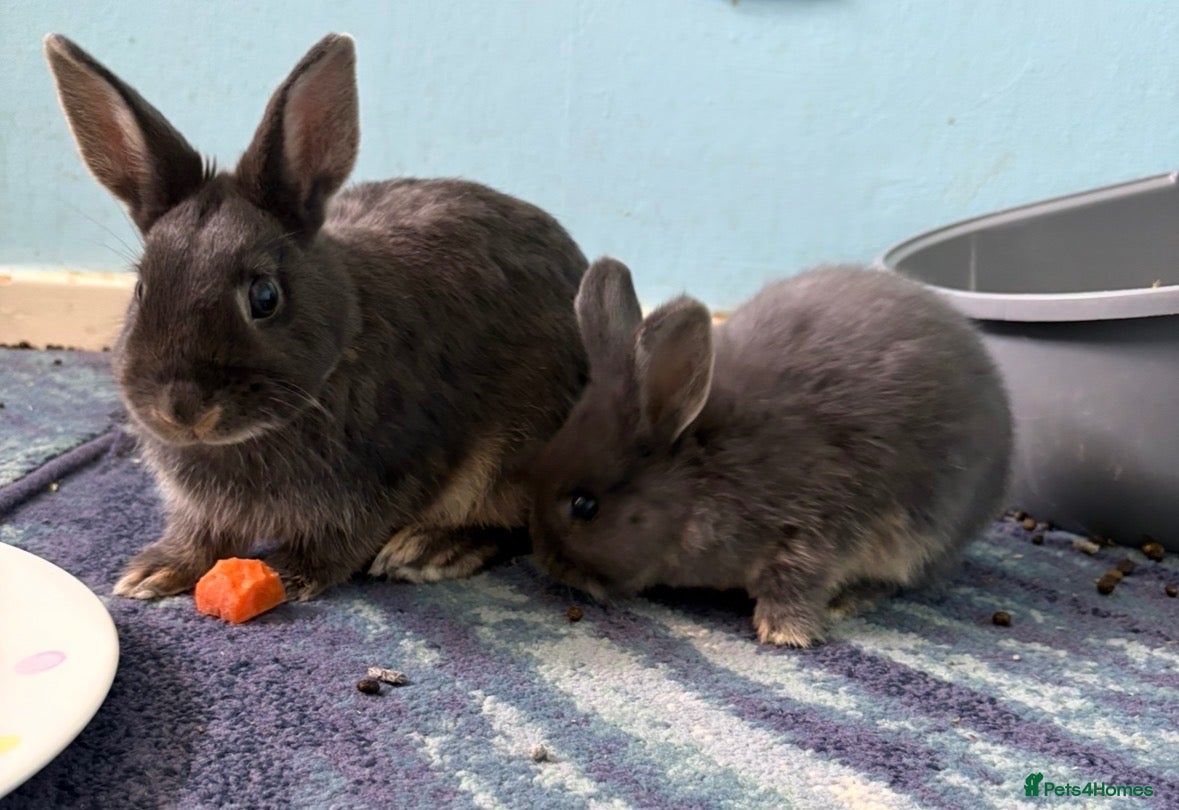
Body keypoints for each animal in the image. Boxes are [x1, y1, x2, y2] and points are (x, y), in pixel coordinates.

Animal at [44, 32, 589, 601]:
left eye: (265, 296)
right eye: (141, 287)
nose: (183, 409)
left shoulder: (389, 477)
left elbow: (339, 541)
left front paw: (285, 573)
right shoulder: (203, 509)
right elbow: (202, 535)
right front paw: (155, 571)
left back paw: (430, 548)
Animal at [527, 258, 1013, 646]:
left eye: (584, 506)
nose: (549, 564)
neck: (704, 469)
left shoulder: (818, 527)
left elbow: (798, 580)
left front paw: (785, 632)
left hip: (927, 534)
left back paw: (850, 600)